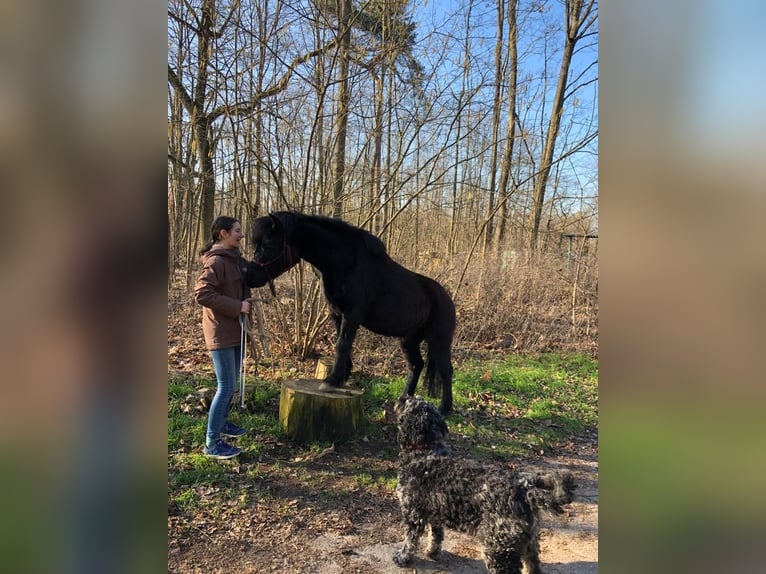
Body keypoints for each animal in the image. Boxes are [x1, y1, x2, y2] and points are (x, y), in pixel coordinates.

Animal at [249, 212, 456, 414]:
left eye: (268, 244)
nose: (249, 274)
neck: (346, 263)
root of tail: (447, 299)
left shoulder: (352, 314)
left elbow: (342, 344)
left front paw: (331, 381)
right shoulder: (337, 313)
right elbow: (342, 343)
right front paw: (342, 377)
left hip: (438, 340)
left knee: (446, 370)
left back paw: (444, 408)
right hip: (408, 340)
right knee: (416, 365)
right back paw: (403, 400)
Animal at [392, 398, 572, 574]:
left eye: (408, 401)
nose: (401, 397)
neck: (426, 451)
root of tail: (524, 488)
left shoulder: (413, 513)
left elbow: (410, 541)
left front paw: (403, 557)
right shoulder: (435, 514)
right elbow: (435, 537)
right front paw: (432, 553)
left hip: (497, 550)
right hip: (530, 545)